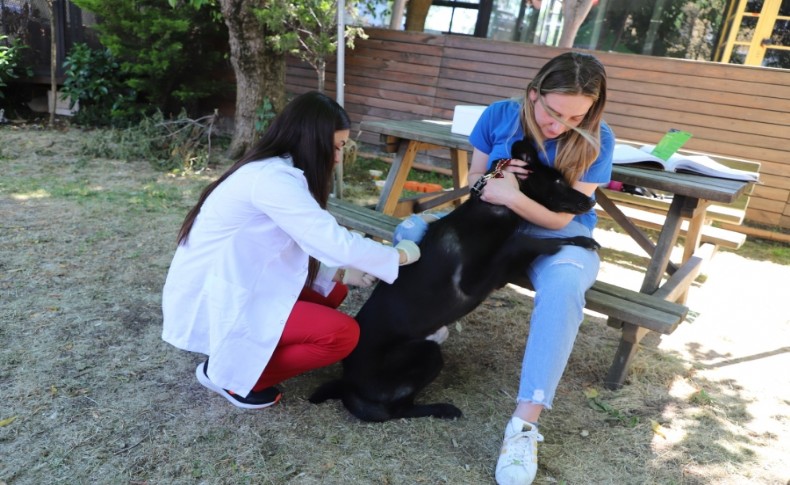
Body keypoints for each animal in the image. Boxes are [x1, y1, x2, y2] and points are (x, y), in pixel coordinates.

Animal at [310, 139, 600, 420]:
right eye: (558, 181)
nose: (591, 202)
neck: (491, 208)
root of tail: (347, 382)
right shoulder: (471, 284)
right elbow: (522, 240)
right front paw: (579, 241)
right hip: (428, 353)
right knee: (396, 410)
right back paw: (443, 409)